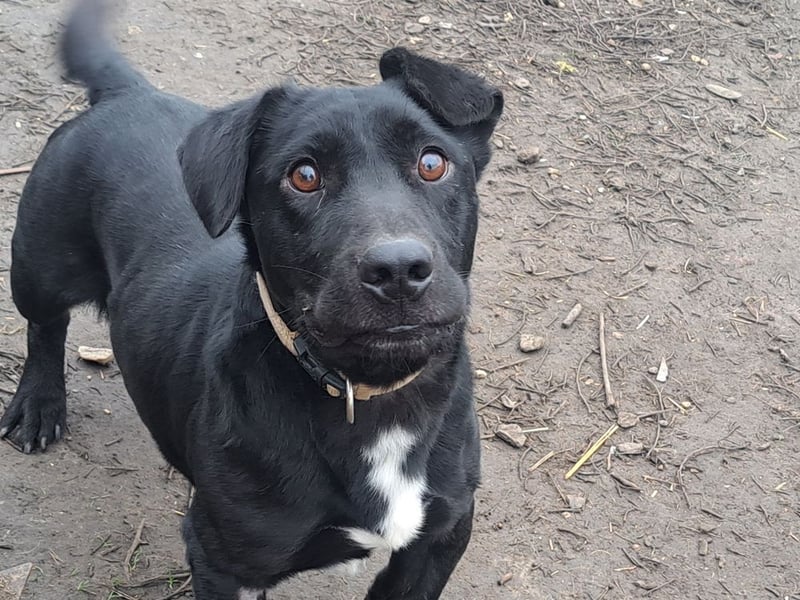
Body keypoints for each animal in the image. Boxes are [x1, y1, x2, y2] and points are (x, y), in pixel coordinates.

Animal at [0, 0, 503, 597]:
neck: (373, 397)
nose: (399, 269)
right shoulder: (223, 559)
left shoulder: (439, 537)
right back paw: (38, 404)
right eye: (303, 176)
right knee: (45, 326)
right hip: (38, 264)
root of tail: (127, 93)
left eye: (432, 162)